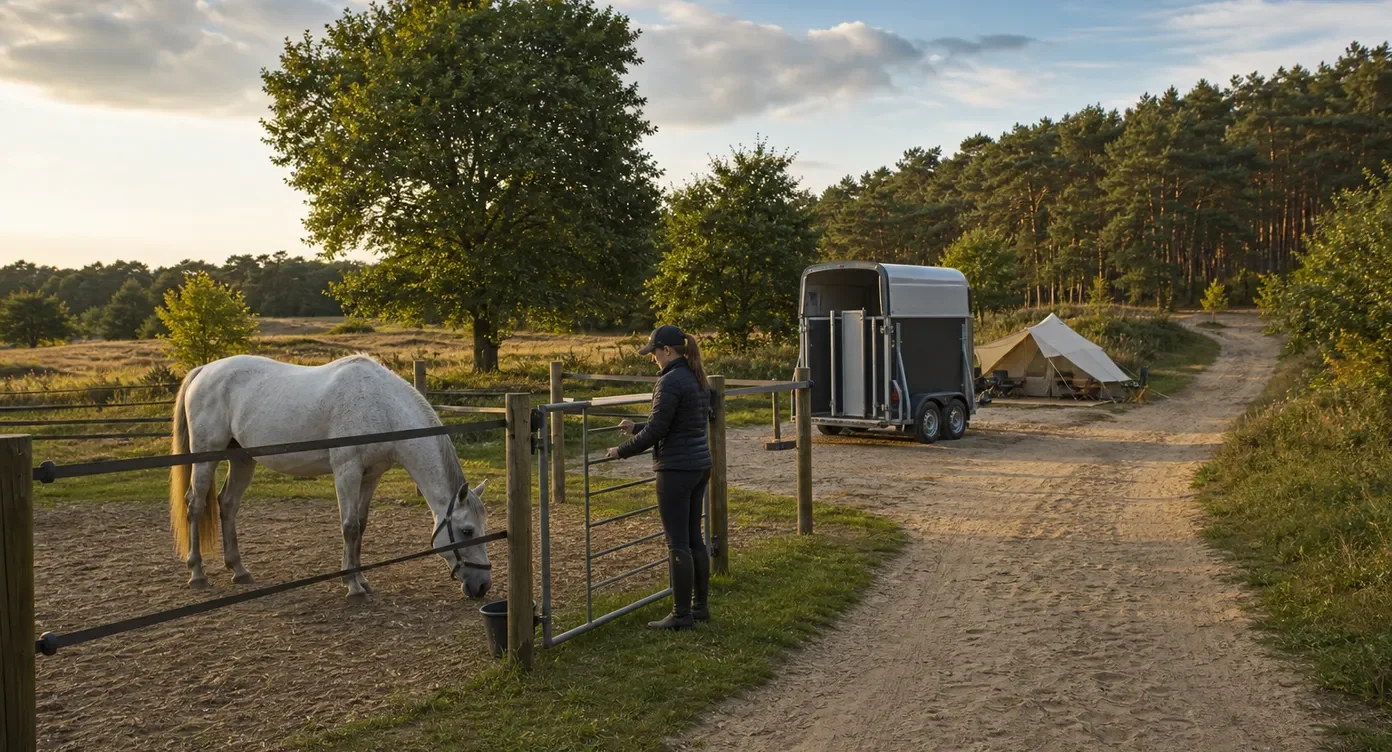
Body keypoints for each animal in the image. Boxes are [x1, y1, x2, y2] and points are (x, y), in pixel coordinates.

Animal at [167, 353, 491, 602]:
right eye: (466, 531)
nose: (483, 586)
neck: (383, 407)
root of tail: (203, 371)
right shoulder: (347, 471)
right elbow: (349, 527)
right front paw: (353, 587)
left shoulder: (370, 476)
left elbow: (361, 525)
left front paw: (362, 580)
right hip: (206, 456)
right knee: (195, 505)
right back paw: (197, 574)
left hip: (242, 459)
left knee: (228, 504)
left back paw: (239, 570)